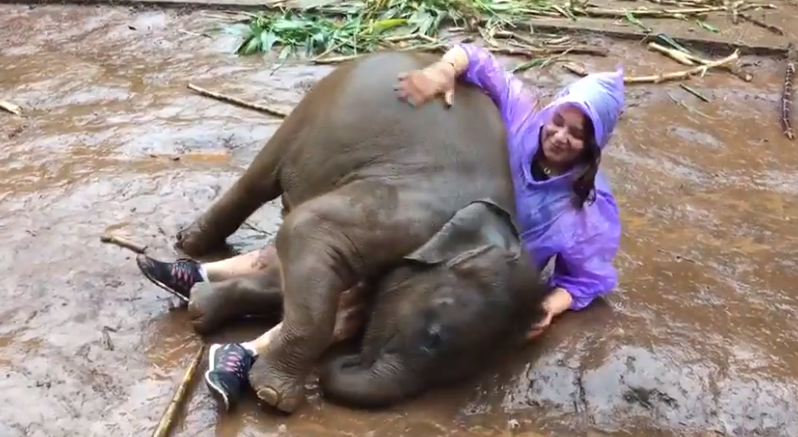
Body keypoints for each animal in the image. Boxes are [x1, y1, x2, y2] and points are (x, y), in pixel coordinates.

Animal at [175, 50, 549, 413]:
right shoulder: (401, 213)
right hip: (309, 114)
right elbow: (305, 231)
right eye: (432, 334)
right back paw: (189, 243)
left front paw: (201, 307)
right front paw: (273, 396)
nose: (348, 358)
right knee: (259, 181)